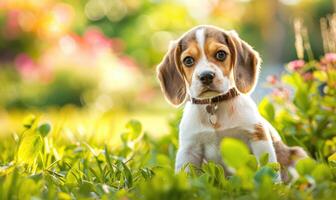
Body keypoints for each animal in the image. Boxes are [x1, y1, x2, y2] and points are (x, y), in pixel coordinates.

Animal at [157, 24, 308, 181]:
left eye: (221, 54)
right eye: (188, 60)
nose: (206, 76)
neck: (214, 104)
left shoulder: (258, 137)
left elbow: (268, 169)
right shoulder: (189, 150)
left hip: (298, 154)